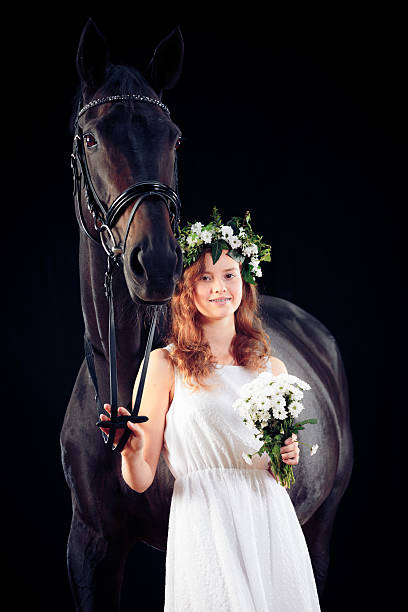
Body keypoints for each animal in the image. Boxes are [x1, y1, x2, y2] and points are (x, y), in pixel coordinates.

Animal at [61, 16, 354, 608]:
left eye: (172, 137)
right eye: (91, 137)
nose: (154, 262)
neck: (125, 369)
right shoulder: (90, 547)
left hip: (319, 529)